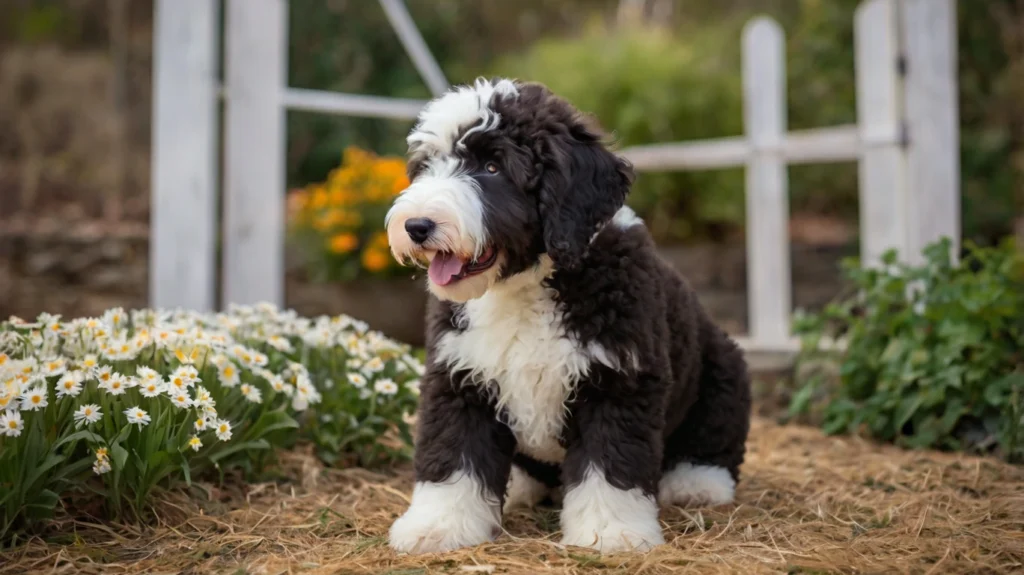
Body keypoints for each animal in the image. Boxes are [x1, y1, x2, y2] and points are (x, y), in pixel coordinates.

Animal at [385, 78, 753, 552]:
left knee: (714, 438)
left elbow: (610, 464)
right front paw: (437, 526)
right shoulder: (459, 377)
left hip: (724, 368)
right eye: (427, 166)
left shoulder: (619, 382)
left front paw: (612, 532)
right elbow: (453, 457)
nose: (416, 226)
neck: (526, 285)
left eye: (492, 167)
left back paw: (697, 483)